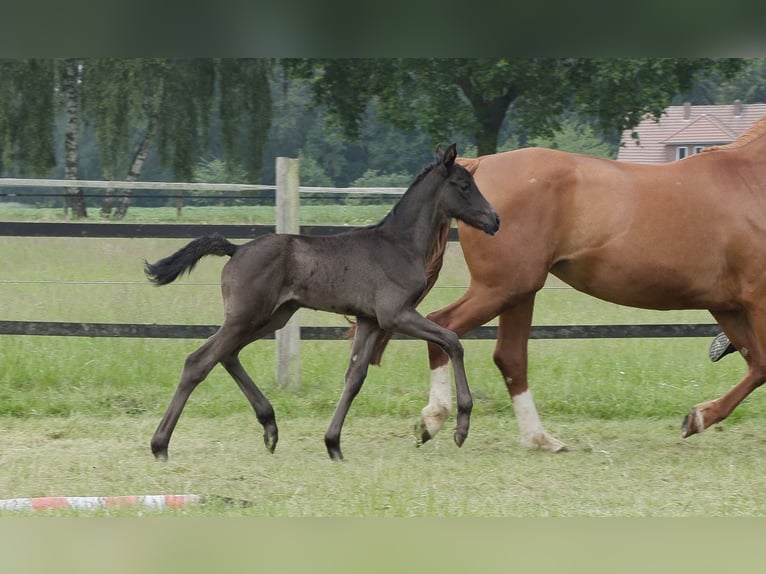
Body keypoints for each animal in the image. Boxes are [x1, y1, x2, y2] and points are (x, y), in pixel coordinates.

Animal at [416, 117, 766, 452]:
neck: (749, 181)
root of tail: (481, 163)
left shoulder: (729, 306)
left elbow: (759, 366)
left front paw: (696, 418)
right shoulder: (755, 301)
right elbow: (764, 366)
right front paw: (697, 418)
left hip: (518, 291)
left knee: (509, 356)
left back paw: (540, 439)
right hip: (501, 287)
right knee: (445, 326)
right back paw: (434, 420)